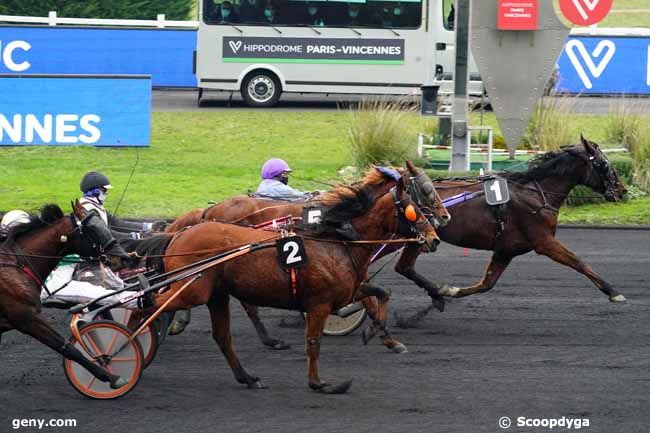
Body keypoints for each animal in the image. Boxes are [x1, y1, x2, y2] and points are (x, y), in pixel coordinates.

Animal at [0, 202, 132, 388]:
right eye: (93, 228)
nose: (124, 258)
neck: (16, 266)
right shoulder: (27, 319)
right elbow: (68, 348)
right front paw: (112, 377)